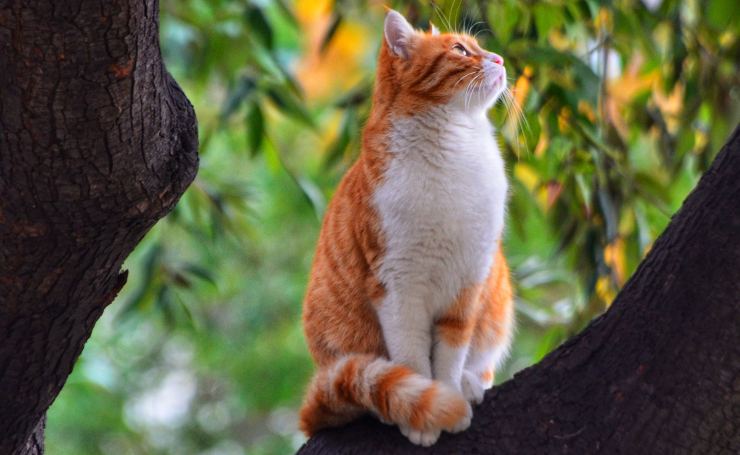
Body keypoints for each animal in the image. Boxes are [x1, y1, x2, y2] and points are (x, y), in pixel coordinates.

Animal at [298, 8, 512, 448]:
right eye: (460, 50)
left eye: (477, 47)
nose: (499, 59)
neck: (453, 148)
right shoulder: (397, 287)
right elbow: (412, 359)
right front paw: (425, 411)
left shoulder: (468, 282)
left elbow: (450, 353)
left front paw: (449, 392)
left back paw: (469, 384)